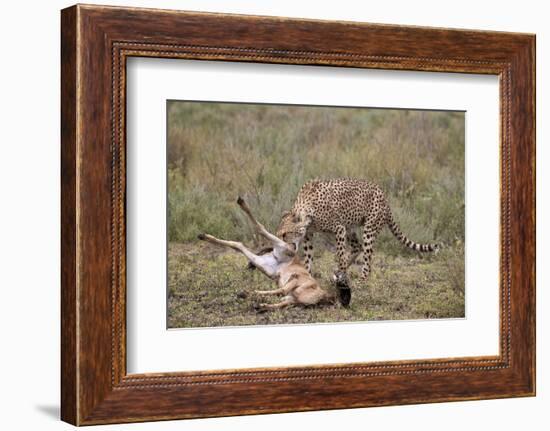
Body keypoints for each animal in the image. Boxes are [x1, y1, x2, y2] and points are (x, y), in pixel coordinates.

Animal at [278, 179, 442, 286]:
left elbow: (340, 255)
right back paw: (340, 271)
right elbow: (308, 258)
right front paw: (307, 276)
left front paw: (342, 275)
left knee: (367, 260)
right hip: (350, 228)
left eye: (285, 234)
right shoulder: (309, 235)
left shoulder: (339, 229)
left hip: (368, 229)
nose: (281, 245)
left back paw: (360, 280)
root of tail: (384, 196)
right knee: (358, 247)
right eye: (279, 234)